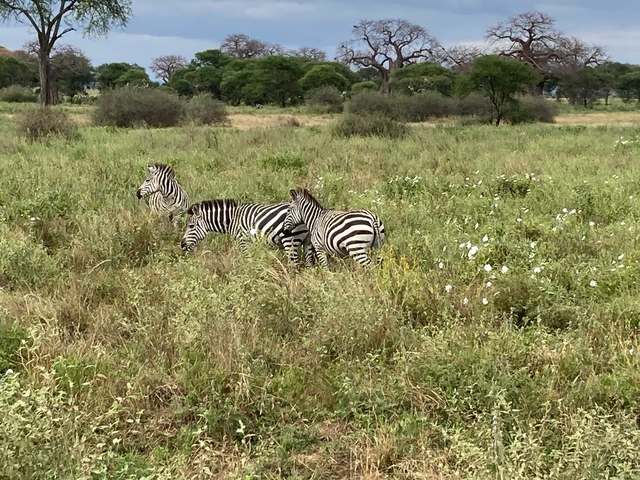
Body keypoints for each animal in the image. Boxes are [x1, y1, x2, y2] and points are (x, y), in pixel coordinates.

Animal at [180, 199, 315, 267]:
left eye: (191, 226)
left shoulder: (243, 241)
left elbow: (248, 260)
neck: (233, 219)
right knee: (309, 264)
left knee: (295, 266)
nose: (182, 245)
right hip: (307, 241)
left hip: (290, 240)